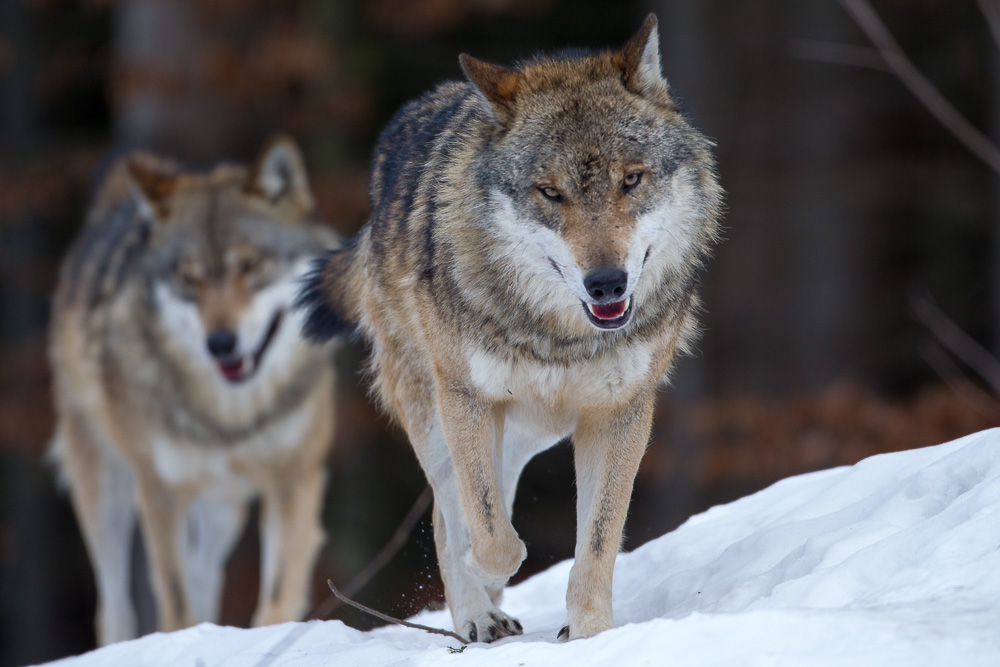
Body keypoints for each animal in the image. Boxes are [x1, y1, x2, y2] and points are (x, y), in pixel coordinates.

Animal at [49, 137, 340, 648]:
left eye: (250, 265)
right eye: (190, 279)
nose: (220, 343)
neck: (229, 417)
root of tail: (115, 209)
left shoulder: (295, 477)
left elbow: (278, 592)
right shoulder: (160, 489)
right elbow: (175, 601)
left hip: (224, 508)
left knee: (206, 575)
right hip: (106, 490)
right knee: (114, 606)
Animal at [300, 14, 724, 640]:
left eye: (631, 180)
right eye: (550, 192)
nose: (607, 284)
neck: (559, 336)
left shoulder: (621, 413)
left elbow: (597, 544)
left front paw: (592, 634)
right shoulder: (468, 398)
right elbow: (492, 535)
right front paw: (483, 573)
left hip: (529, 436)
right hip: (435, 414)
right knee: (448, 510)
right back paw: (477, 614)